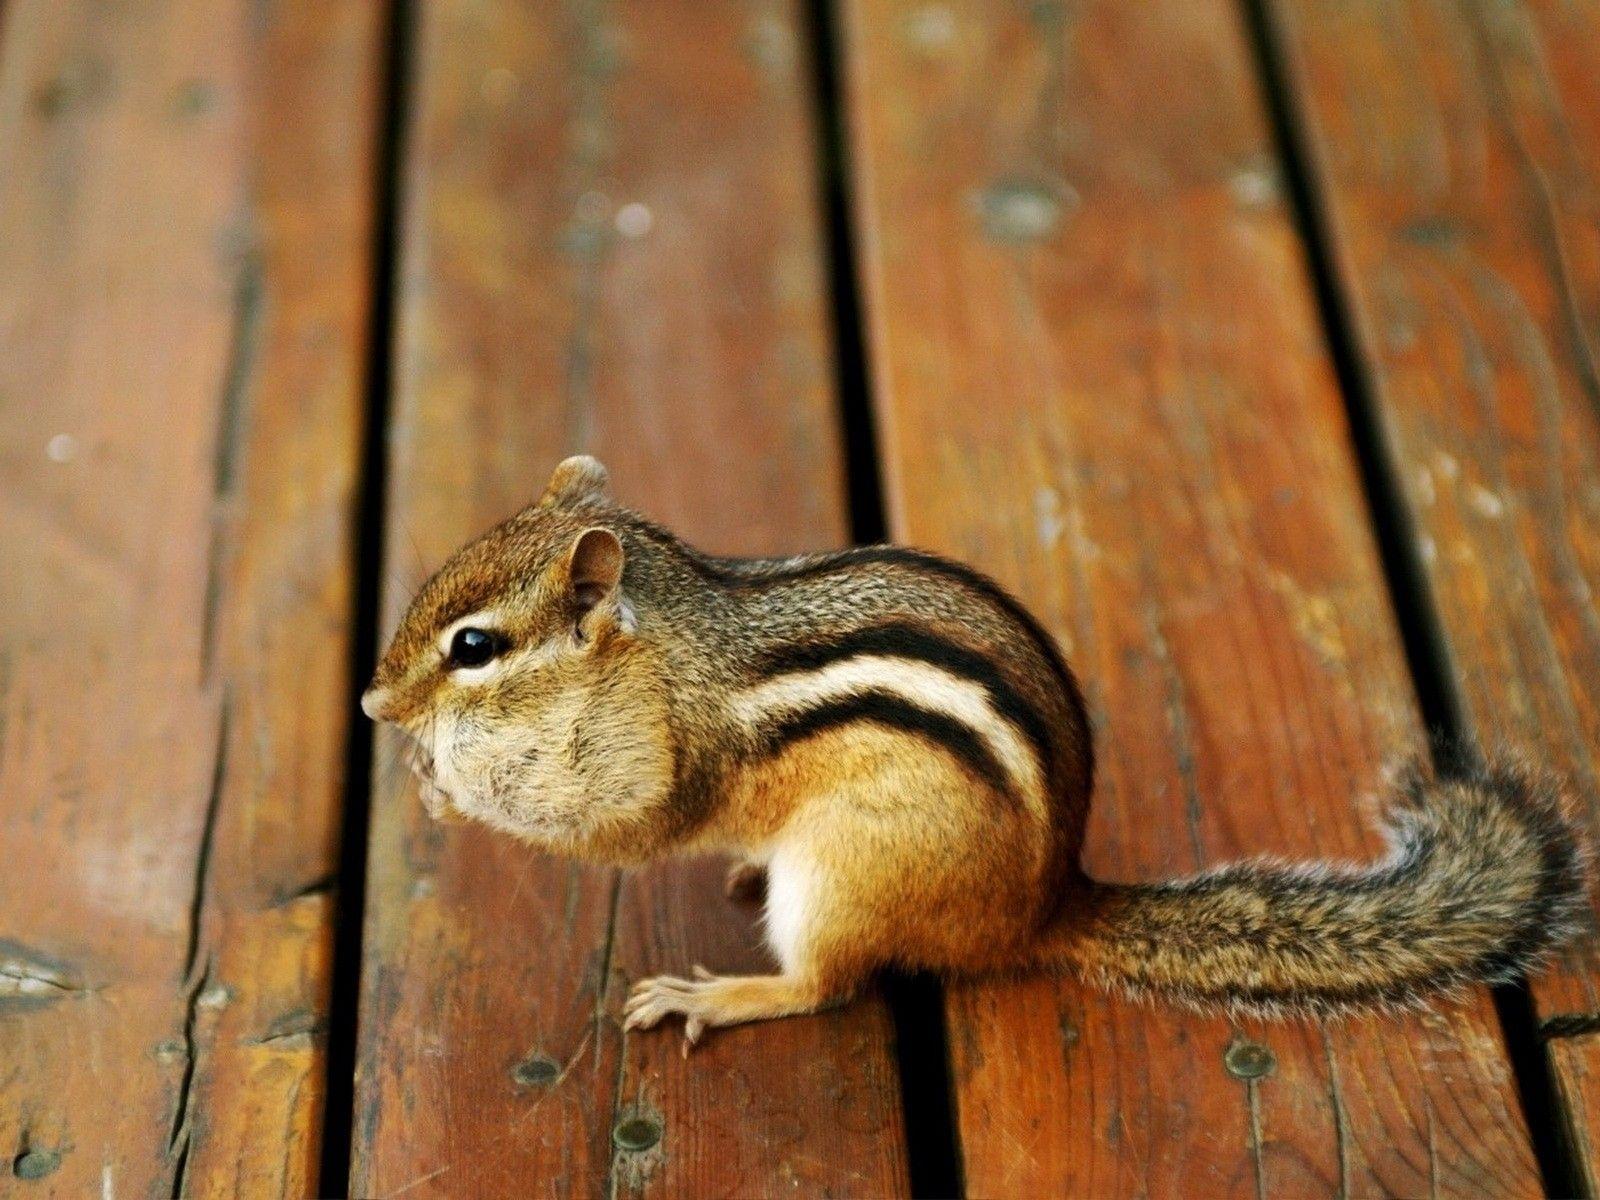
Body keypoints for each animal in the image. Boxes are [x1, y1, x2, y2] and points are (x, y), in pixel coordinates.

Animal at [363, 455, 1588, 1050]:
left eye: (474, 647)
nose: (373, 704)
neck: (662, 635)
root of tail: (1041, 908)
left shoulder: (669, 756)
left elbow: (619, 830)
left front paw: (446, 784)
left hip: (845, 875)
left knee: (823, 986)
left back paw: (725, 995)